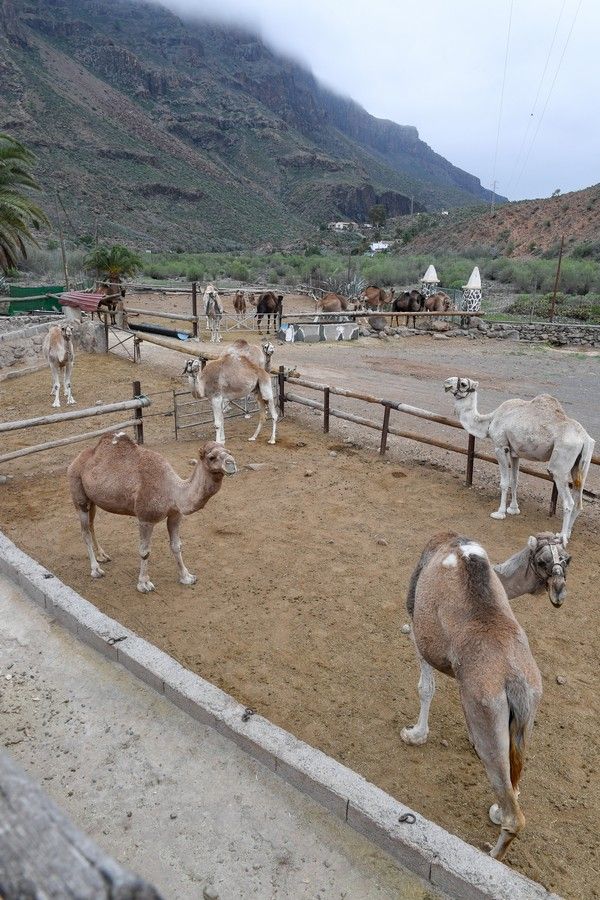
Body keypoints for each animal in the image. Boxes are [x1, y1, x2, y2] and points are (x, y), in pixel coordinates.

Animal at [65, 434, 234, 596]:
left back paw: (102, 555)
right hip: (78, 494)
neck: (172, 491)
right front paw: (144, 584)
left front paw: (187, 577)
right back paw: (96, 570)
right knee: (85, 531)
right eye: (211, 457)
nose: (231, 464)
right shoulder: (145, 518)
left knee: (91, 525)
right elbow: (145, 551)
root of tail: (75, 460)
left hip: (92, 500)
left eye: (229, 452)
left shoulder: (175, 515)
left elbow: (176, 546)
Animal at [404, 532, 544, 860]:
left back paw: (492, 854)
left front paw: (415, 735)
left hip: (486, 710)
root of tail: (513, 679)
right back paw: (496, 812)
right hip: (527, 711)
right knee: (513, 781)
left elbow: (425, 687)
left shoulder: (419, 630)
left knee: (514, 815)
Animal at [442, 372, 592, 540]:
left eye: (463, 384)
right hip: (580, 466)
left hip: (560, 464)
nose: (446, 382)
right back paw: (568, 532)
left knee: (568, 502)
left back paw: (562, 537)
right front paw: (513, 509)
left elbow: (504, 482)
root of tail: (585, 438)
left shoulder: (501, 447)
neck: (490, 420)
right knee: (579, 500)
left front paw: (500, 513)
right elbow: (514, 481)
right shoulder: (515, 453)